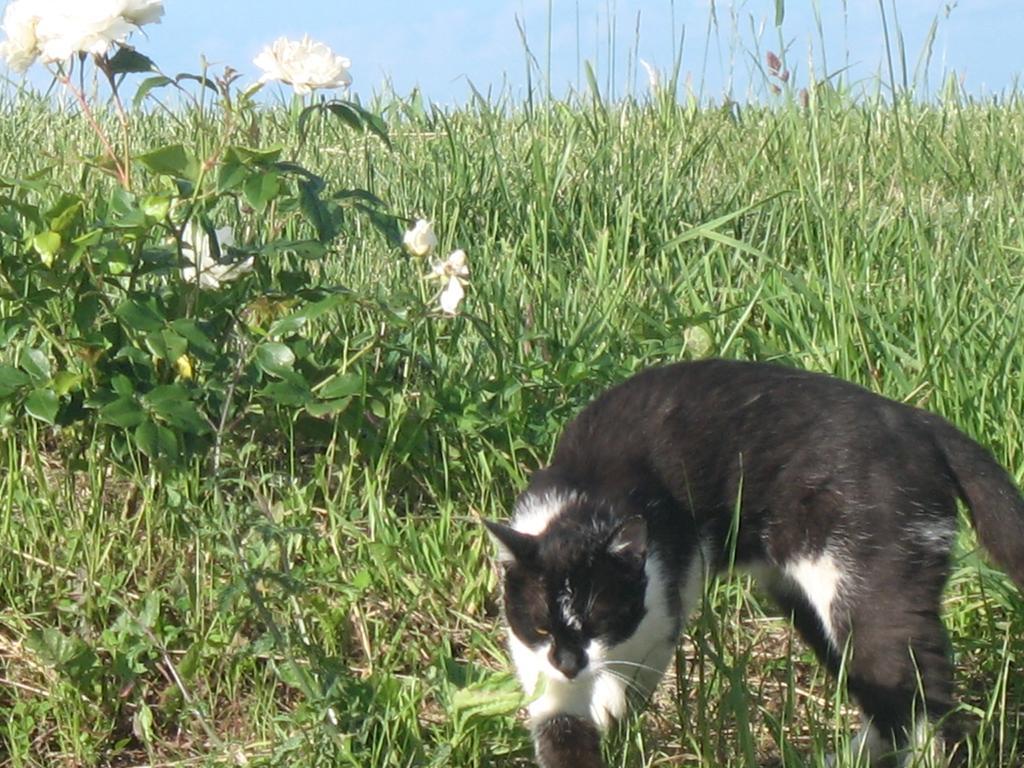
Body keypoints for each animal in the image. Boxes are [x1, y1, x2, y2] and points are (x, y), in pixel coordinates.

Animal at [481, 362, 1024, 768]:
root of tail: (919, 422)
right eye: (541, 627)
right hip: (807, 600)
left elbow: (638, 662)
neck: (581, 501)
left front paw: (613, 705)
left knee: (921, 689)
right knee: (887, 700)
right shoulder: (539, 664)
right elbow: (559, 725)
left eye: (599, 620)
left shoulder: (667, 590)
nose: (570, 663)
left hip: (872, 575)